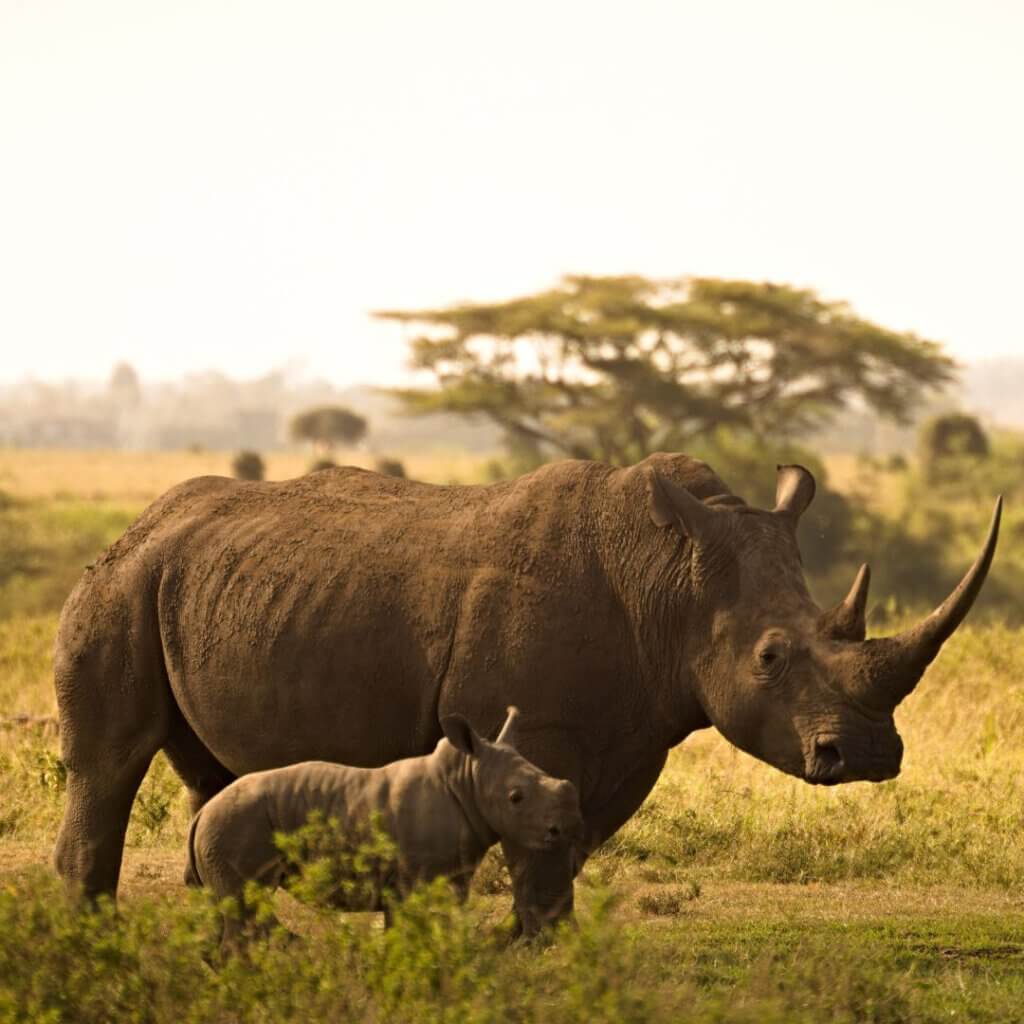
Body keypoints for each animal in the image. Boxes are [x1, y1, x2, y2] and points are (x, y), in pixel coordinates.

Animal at [185, 712, 585, 942]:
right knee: (244, 912)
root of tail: (201, 816)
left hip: (225, 829)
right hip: (233, 827)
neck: (466, 781)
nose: (566, 829)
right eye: (516, 798)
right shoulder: (417, 879)